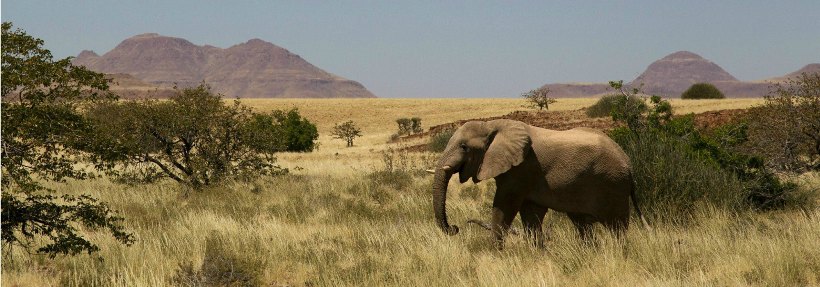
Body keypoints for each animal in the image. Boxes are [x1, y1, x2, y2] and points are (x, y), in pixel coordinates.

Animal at [430, 120, 648, 249]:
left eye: (464, 147)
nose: (455, 228)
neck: (493, 125)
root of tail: (629, 163)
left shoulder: (521, 169)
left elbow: (504, 206)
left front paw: (493, 253)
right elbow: (531, 214)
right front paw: (538, 253)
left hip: (613, 185)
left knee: (617, 226)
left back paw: (619, 253)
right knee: (582, 224)